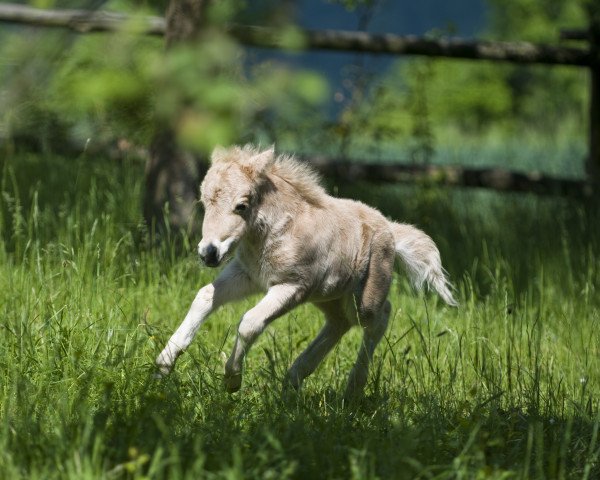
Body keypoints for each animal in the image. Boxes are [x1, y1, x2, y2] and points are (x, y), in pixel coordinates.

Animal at [156, 145, 460, 398]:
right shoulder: (247, 275)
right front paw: (163, 363)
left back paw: (352, 388)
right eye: (204, 203)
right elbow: (205, 297)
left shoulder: (292, 287)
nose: (209, 253)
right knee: (339, 322)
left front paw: (232, 379)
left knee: (379, 317)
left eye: (241, 205)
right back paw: (294, 377)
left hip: (363, 297)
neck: (275, 232)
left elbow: (250, 322)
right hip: (328, 296)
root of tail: (391, 230)